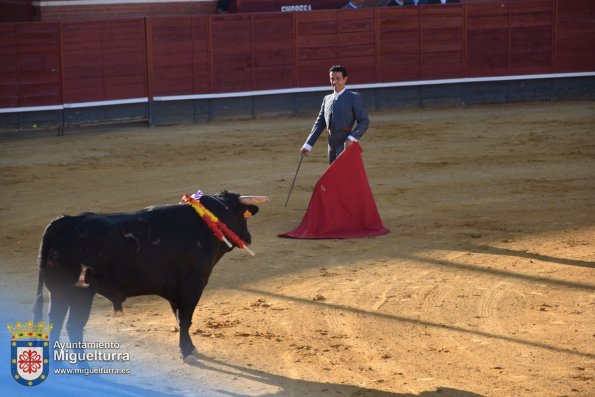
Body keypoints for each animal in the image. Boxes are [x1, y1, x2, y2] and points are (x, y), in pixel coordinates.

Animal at [33, 190, 264, 358]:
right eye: (242, 217)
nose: (249, 237)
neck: (205, 223)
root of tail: (65, 222)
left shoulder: (175, 291)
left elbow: (180, 318)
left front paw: (187, 346)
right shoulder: (193, 285)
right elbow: (186, 318)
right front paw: (186, 350)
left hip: (58, 292)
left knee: (55, 320)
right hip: (80, 294)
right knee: (73, 326)